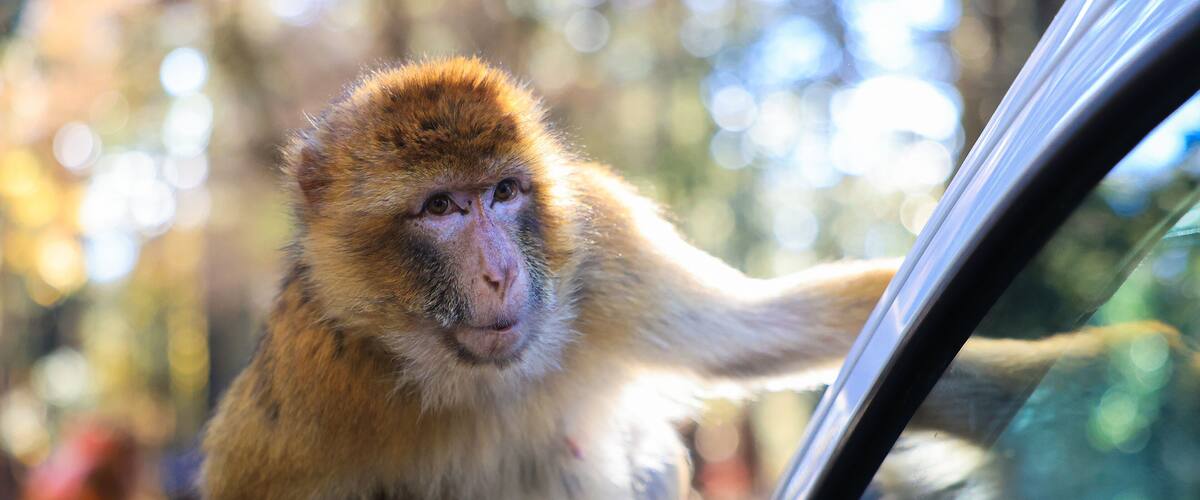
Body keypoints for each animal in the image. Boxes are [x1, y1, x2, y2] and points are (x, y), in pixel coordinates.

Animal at [199, 57, 1190, 499]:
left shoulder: (603, 256)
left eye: (506, 193)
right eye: (442, 207)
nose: (499, 271)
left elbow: (773, 331)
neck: (477, 380)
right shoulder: (310, 401)